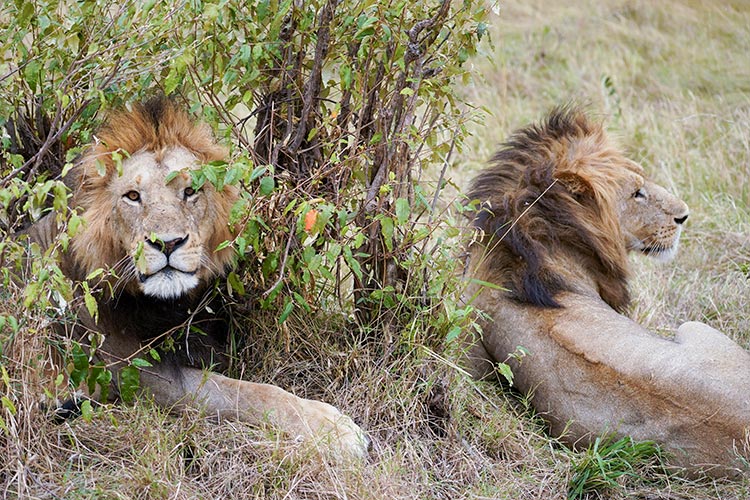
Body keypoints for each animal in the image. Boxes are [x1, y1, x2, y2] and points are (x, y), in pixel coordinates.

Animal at [16, 96, 368, 460]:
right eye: (132, 196)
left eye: (190, 191)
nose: (168, 243)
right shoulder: (138, 375)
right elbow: (250, 392)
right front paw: (334, 428)